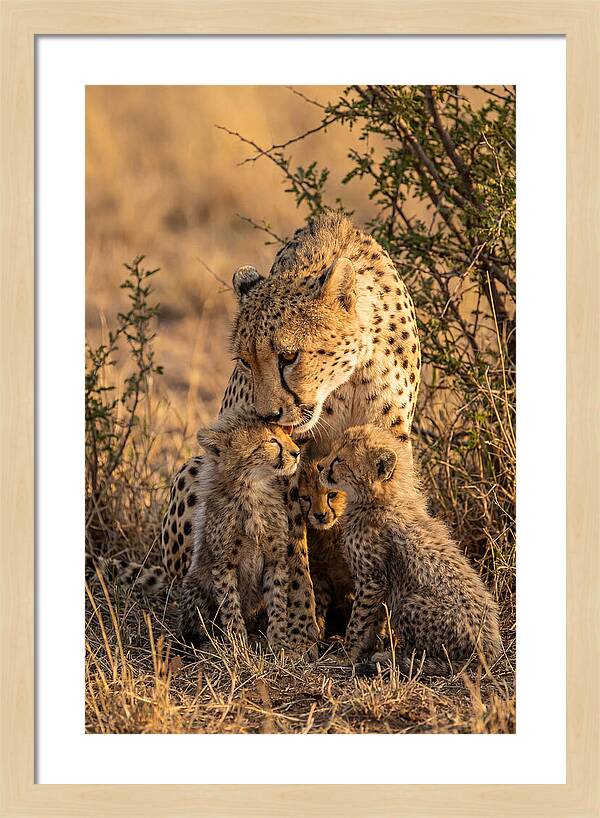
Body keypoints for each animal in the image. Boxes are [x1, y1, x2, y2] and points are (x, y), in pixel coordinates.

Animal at [178, 413, 300, 651]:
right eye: (272, 441)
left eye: (286, 434)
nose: (296, 453)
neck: (252, 489)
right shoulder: (224, 563)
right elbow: (230, 604)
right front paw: (237, 644)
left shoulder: (276, 559)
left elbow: (277, 601)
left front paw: (278, 642)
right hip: (194, 585)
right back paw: (209, 643)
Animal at [318, 424, 502, 676]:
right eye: (332, 451)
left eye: (339, 460)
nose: (319, 466)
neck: (380, 499)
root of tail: (490, 651)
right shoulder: (379, 584)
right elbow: (373, 621)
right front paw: (365, 648)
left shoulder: (372, 580)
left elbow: (359, 621)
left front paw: (347, 655)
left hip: (410, 602)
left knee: (428, 655)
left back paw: (394, 658)